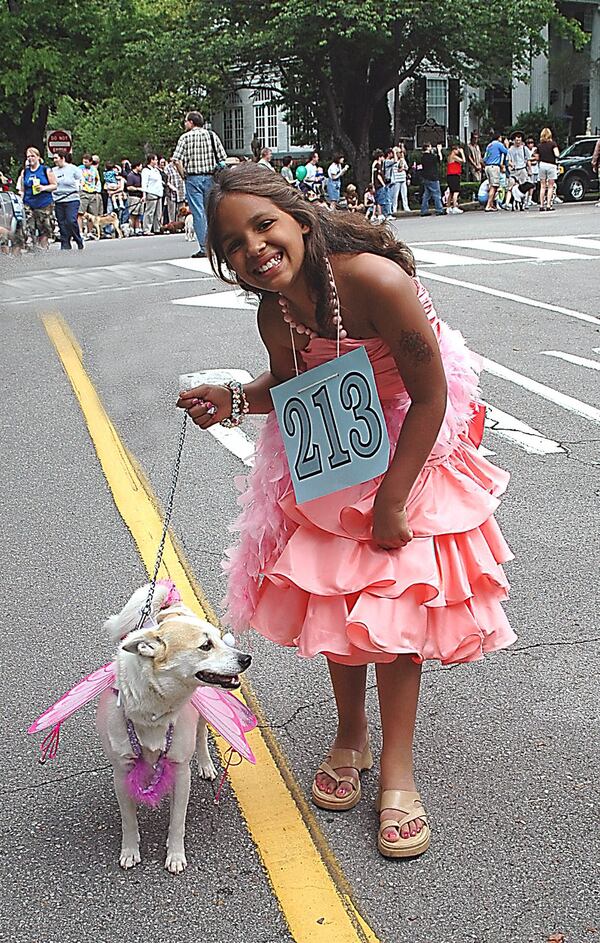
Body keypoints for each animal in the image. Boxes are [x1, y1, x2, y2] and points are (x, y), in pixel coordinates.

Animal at [94, 588, 253, 872]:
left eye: (218, 639)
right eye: (205, 646)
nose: (246, 659)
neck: (154, 710)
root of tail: (171, 608)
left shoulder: (180, 772)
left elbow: (177, 822)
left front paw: (175, 855)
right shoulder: (121, 773)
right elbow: (129, 821)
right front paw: (130, 850)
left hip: (203, 712)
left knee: (201, 736)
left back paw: (206, 765)